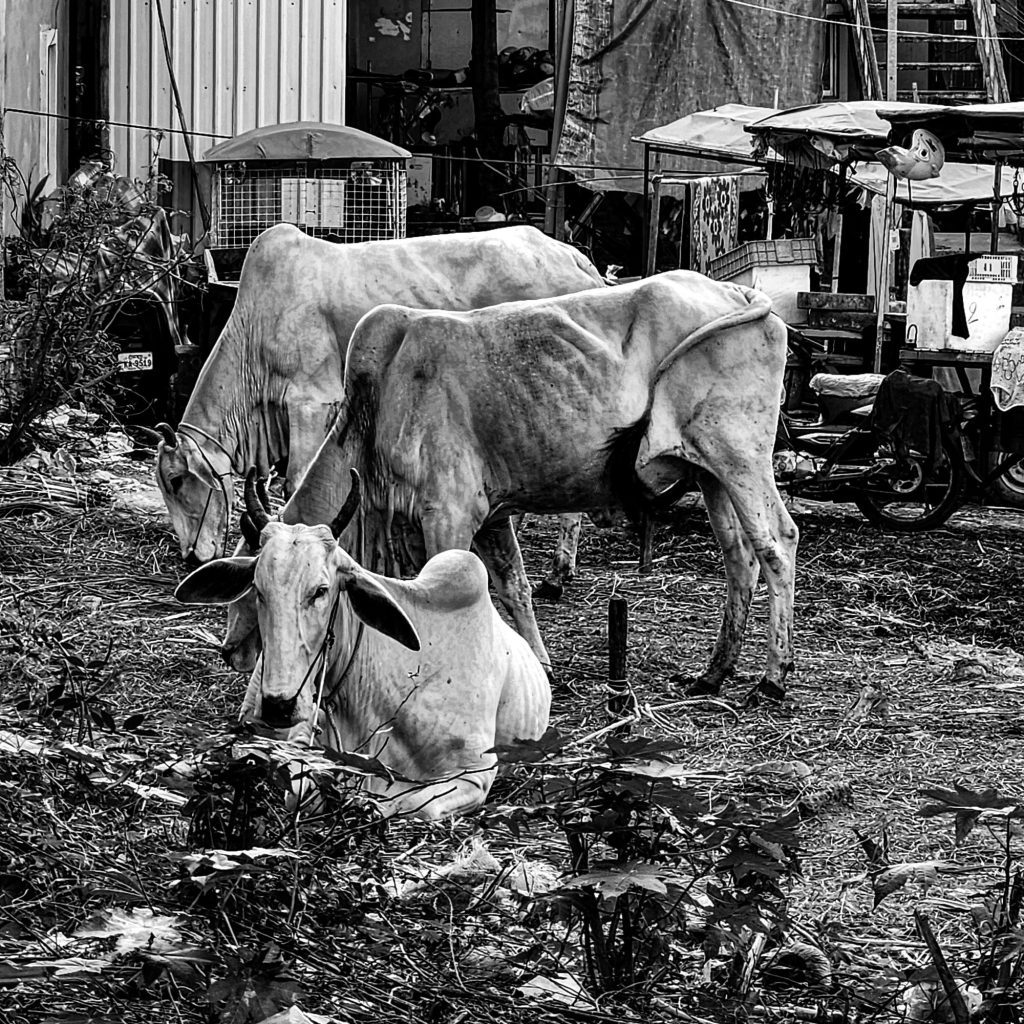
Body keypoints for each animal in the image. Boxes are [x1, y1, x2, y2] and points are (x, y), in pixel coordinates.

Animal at [174, 468, 552, 819]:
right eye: (258, 588)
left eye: (321, 590)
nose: (279, 705)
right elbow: (300, 791)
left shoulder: (474, 774)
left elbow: (409, 804)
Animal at [224, 270, 798, 704]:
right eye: (257, 583)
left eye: (311, 593)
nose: (230, 651)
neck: (379, 397)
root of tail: (737, 294)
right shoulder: (489, 517)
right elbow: (514, 587)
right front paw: (542, 666)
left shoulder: (449, 514)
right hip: (709, 473)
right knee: (738, 558)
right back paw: (714, 673)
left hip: (740, 459)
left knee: (777, 543)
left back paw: (772, 678)